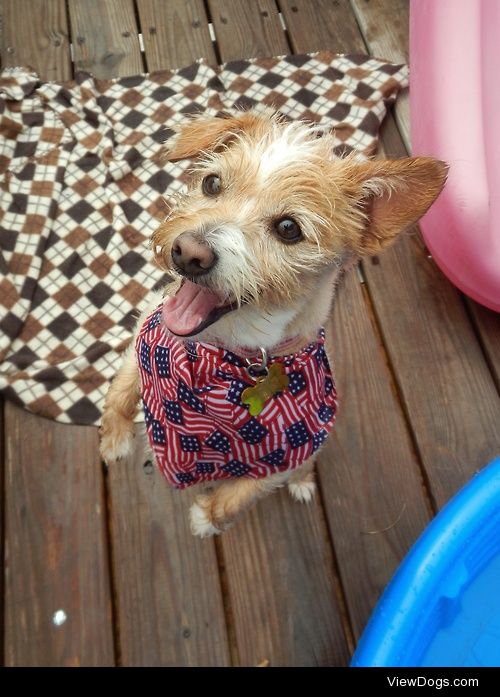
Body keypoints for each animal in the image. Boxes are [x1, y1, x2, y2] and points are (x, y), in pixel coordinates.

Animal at [99, 109, 448, 536]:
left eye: (288, 228)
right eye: (212, 183)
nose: (188, 253)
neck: (226, 350)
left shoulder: (289, 451)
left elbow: (243, 493)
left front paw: (207, 518)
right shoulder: (148, 328)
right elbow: (121, 387)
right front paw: (114, 438)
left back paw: (302, 483)